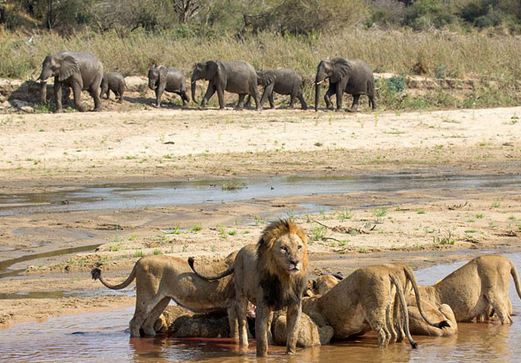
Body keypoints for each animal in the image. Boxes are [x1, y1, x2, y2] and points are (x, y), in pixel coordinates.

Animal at [189, 220, 306, 356]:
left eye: (299, 247)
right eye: (283, 248)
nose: (295, 262)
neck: (285, 278)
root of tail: (238, 253)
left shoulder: (295, 305)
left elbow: (292, 335)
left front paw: (291, 355)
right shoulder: (263, 304)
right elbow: (261, 339)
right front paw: (262, 356)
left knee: (268, 325)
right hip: (241, 296)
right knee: (242, 324)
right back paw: (243, 347)